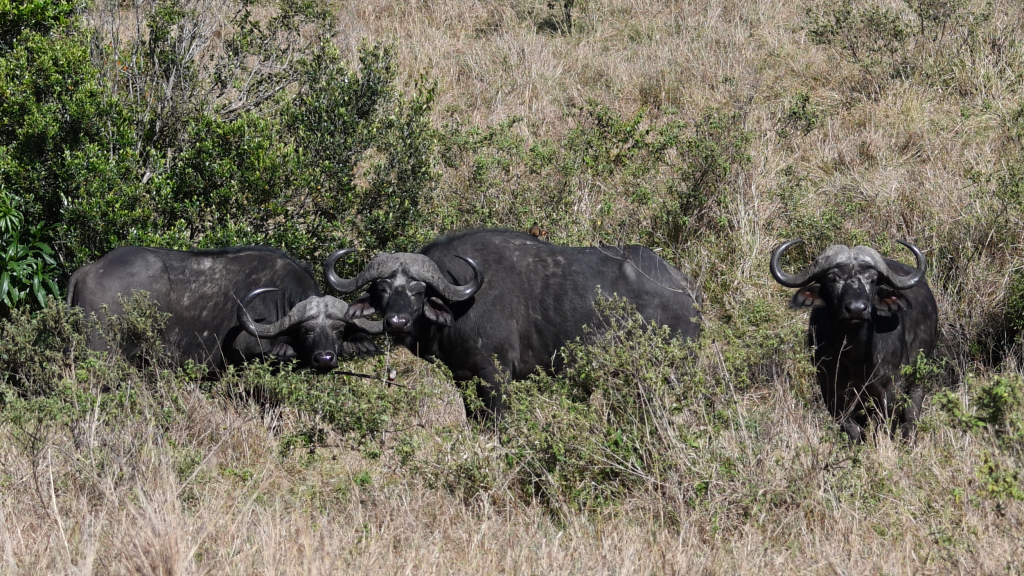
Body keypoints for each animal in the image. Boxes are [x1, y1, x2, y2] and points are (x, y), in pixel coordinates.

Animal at [323, 230, 700, 414]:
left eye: (418, 289)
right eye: (382, 288)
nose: (397, 321)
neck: (459, 305)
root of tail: (686, 287)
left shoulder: (496, 376)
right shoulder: (464, 379)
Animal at [770, 237, 937, 438]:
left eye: (872, 280)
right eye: (833, 278)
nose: (856, 309)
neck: (855, 354)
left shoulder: (892, 388)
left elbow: (885, 425)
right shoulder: (831, 389)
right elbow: (852, 429)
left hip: (919, 381)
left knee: (911, 420)